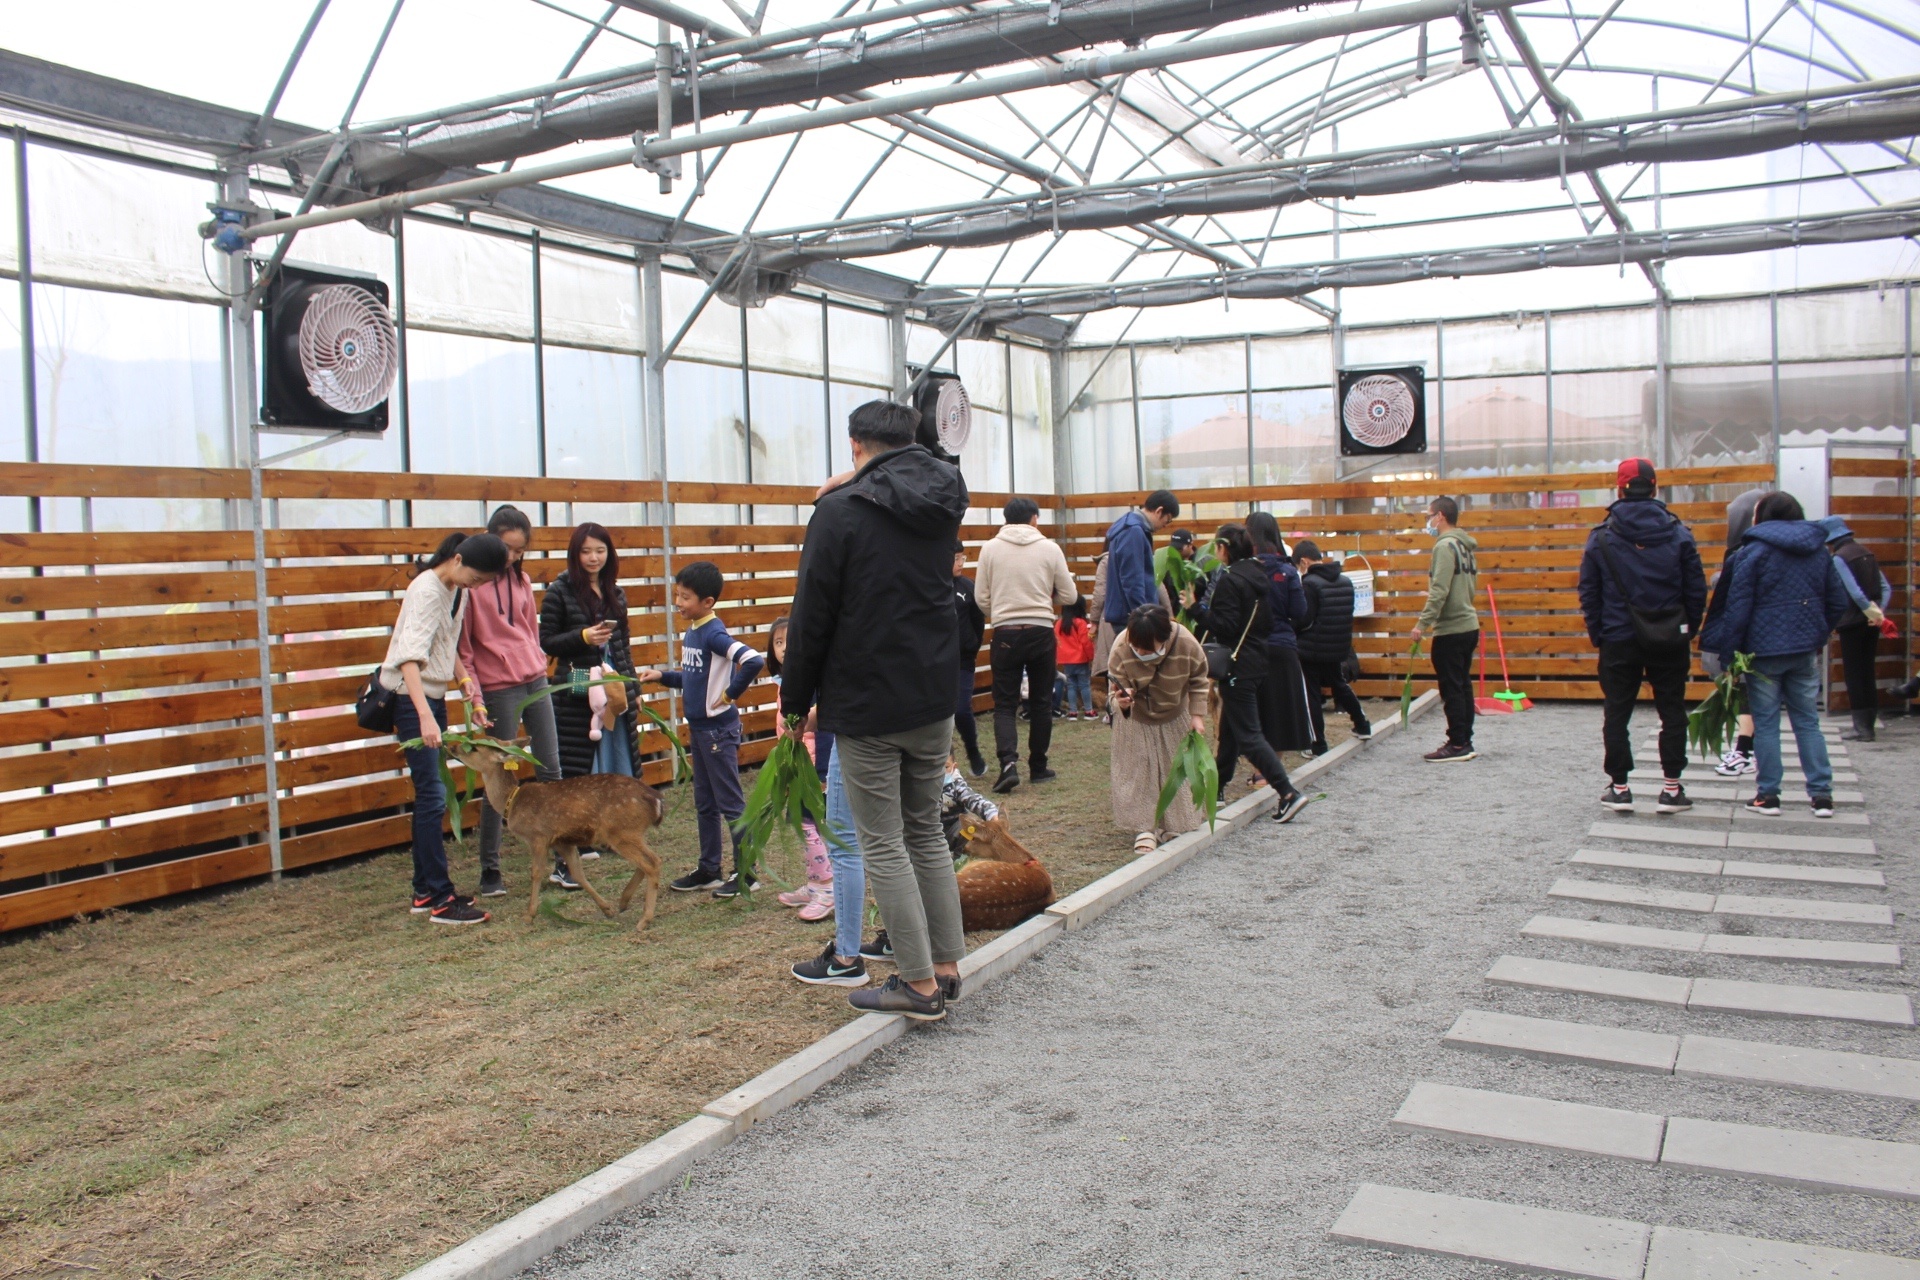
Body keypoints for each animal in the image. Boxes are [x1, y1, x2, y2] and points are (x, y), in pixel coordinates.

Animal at [445, 740, 664, 932]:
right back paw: (623, 902)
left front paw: (529, 915)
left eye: (473, 747)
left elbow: (536, 873)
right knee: (650, 861)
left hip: (621, 832)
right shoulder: (562, 842)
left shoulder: (538, 837)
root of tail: (656, 800)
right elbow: (578, 874)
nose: (451, 746)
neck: (512, 802)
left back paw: (644, 919)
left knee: (652, 862)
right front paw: (606, 908)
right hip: (629, 833)